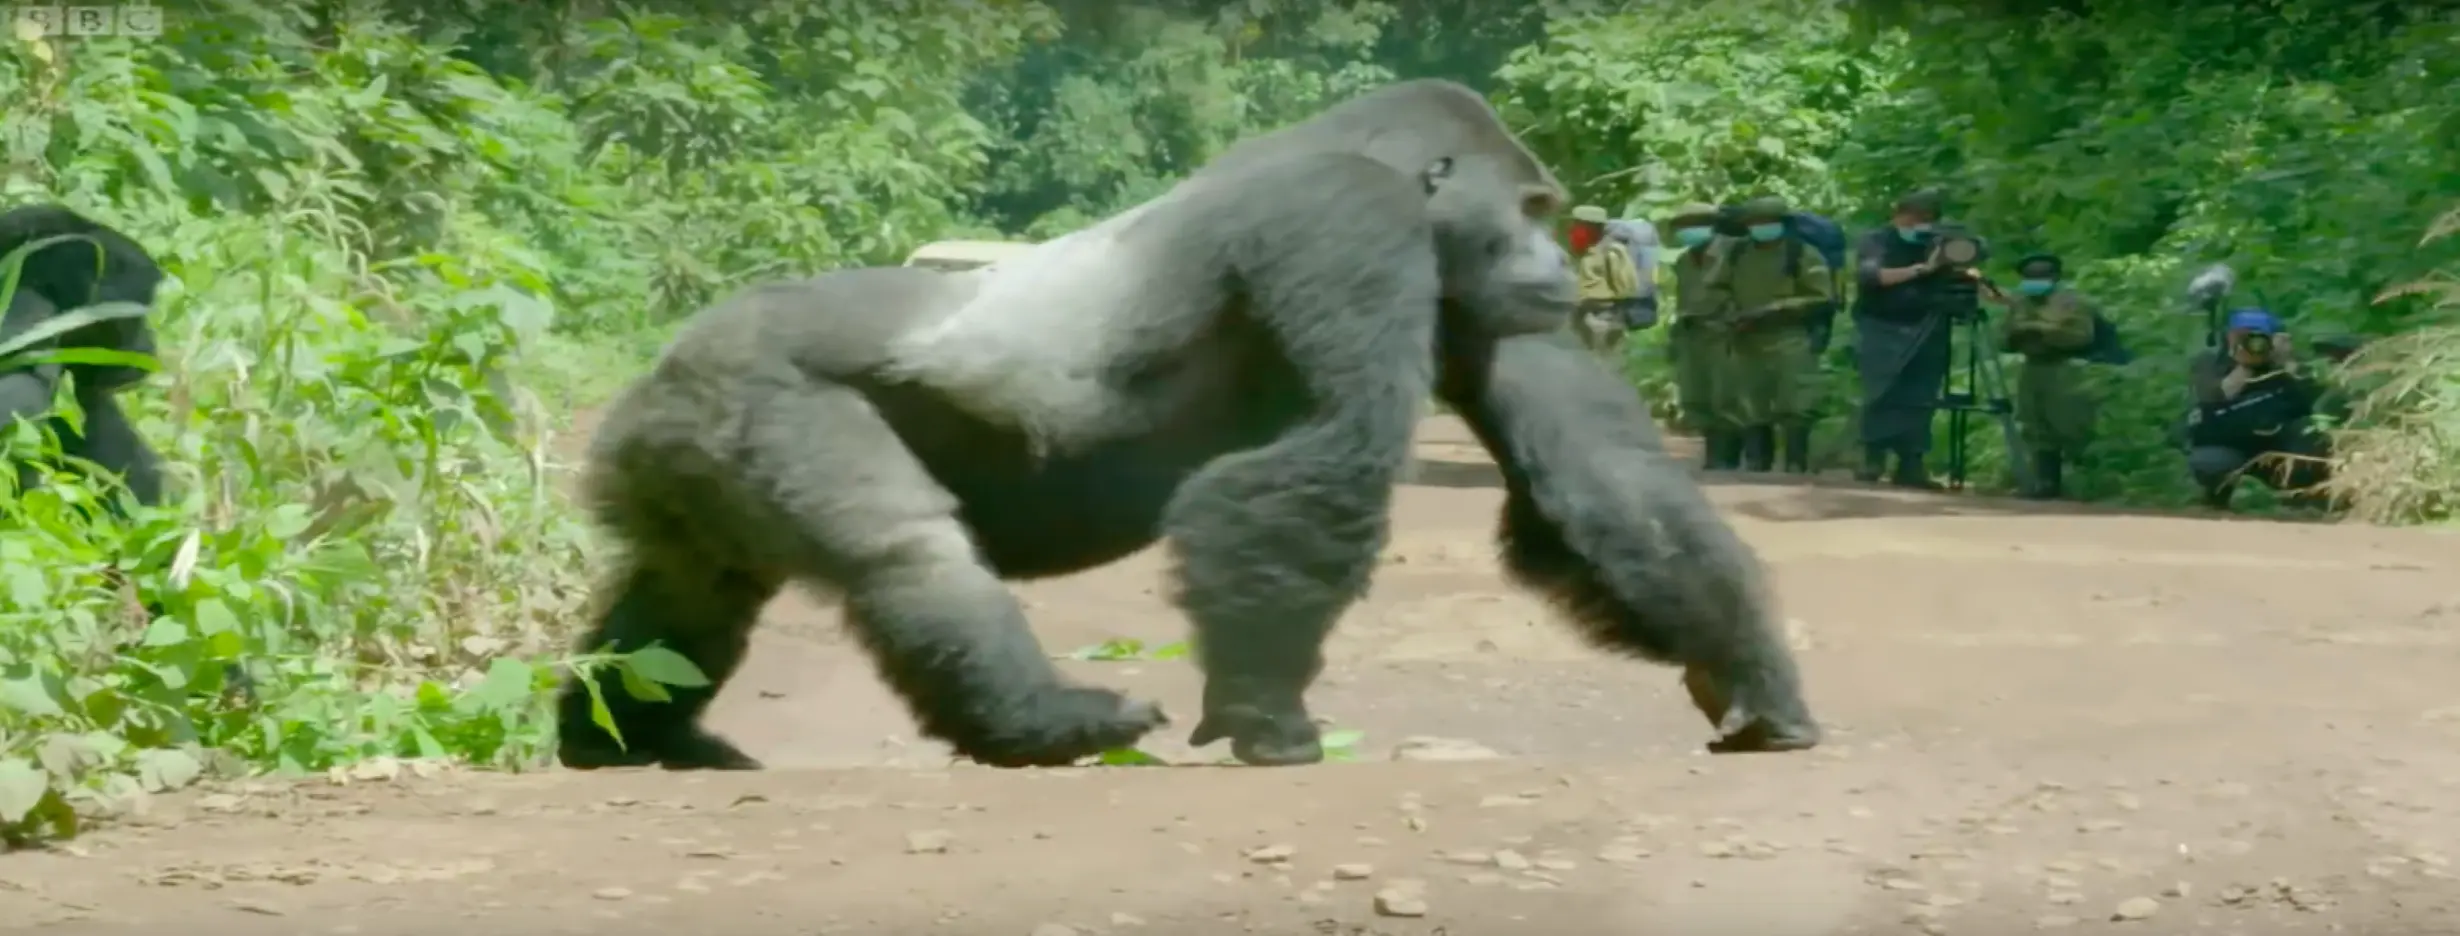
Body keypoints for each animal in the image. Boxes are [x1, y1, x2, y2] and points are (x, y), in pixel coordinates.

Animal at [555, 78, 1818, 771]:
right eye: (1533, 209)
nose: (1560, 272)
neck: (1371, 159)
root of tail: (654, 377)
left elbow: (1601, 479)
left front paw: (1751, 675)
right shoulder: (1345, 220)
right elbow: (1330, 460)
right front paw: (1267, 715)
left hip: (684, 445)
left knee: (690, 595)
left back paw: (628, 738)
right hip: (747, 387)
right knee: (907, 551)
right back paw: (1040, 720)